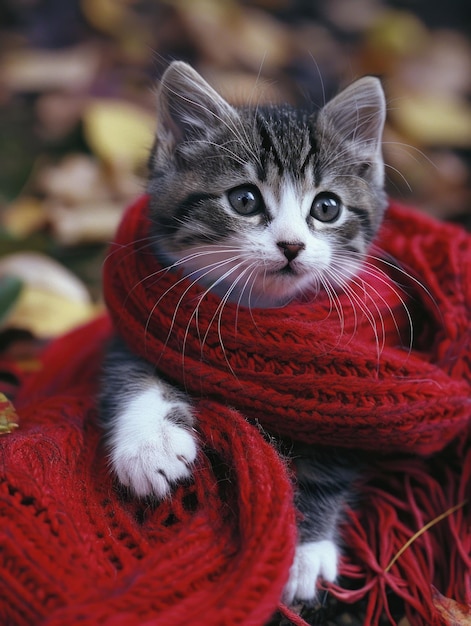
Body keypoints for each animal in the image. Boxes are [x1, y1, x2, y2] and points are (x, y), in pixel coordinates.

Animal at [99, 61, 388, 604]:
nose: (292, 245)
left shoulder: (355, 392)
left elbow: (334, 449)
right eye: (245, 199)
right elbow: (130, 370)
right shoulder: (138, 322)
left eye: (327, 208)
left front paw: (304, 548)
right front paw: (149, 445)